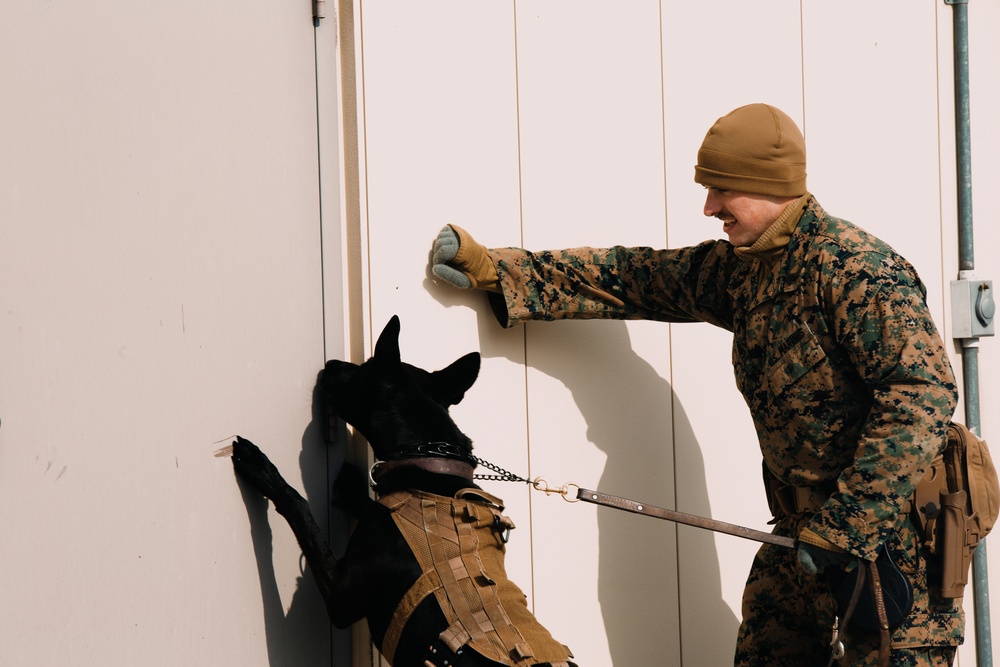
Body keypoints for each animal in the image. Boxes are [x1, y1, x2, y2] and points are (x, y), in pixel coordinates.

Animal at [231, 318, 576, 667]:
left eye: (364, 366)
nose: (331, 364)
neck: (428, 461)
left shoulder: (342, 598)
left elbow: (301, 512)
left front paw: (261, 468)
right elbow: (367, 502)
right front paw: (352, 486)